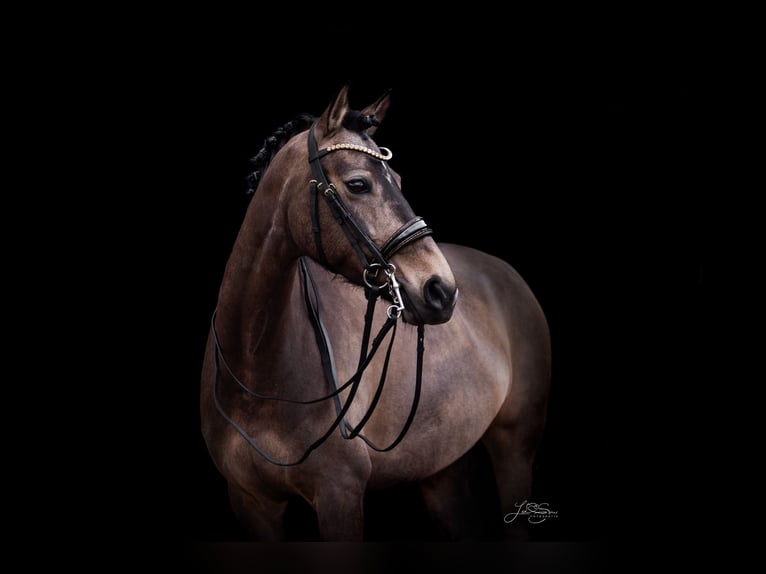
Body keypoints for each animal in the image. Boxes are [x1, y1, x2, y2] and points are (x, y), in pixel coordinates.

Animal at [200, 84, 551, 541]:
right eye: (358, 184)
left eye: (398, 181)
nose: (441, 290)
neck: (255, 367)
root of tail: (507, 274)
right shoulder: (251, 505)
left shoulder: (340, 495)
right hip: (441, 471)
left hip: (515, 449)